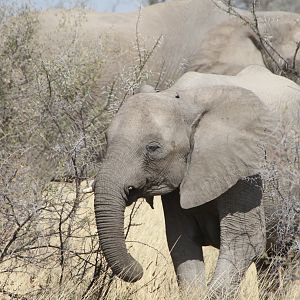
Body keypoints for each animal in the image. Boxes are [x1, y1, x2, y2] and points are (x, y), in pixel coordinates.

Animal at [94, 65, 300, 296]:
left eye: (153, 148)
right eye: (106, 138)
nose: (139, 269)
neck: (183, 100)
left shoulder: (246, 172)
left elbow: (244, 241)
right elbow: (181, 241)